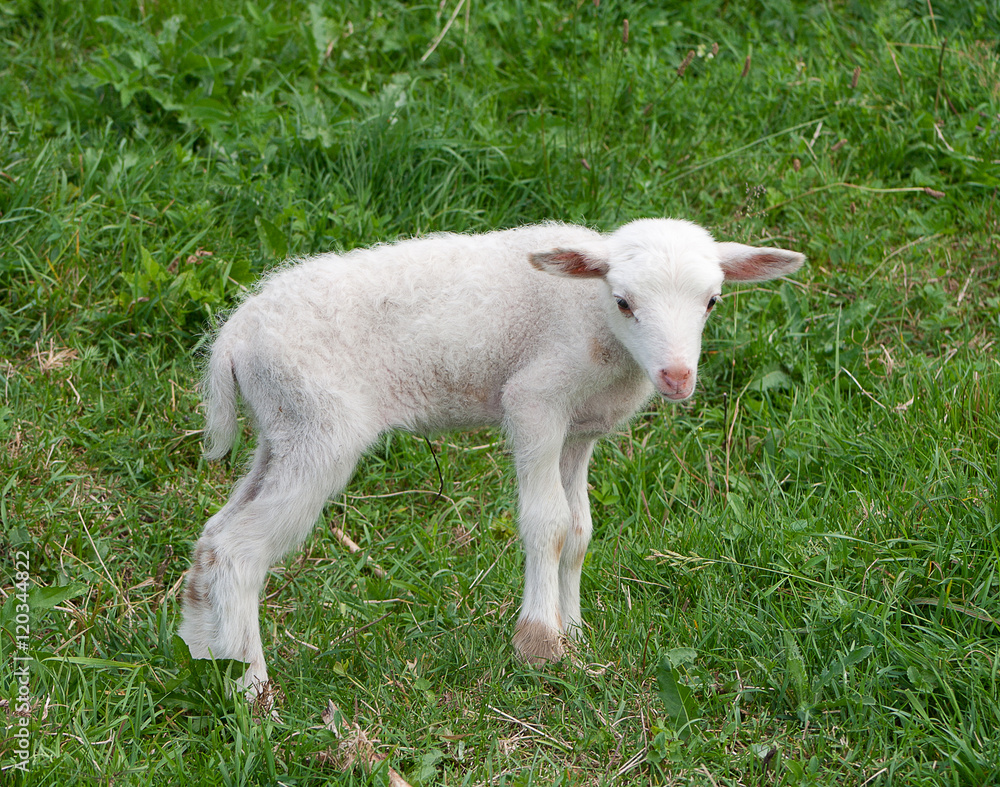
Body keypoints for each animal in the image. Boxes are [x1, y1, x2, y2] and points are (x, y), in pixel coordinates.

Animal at [178, 218, 804, 697]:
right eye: (624, 302)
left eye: (712, 301)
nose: (677, 377)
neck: (592, 320)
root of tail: (234, 337)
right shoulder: (535, 402)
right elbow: (548, 523)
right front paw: (540, 643)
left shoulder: (580, 431)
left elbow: (580, 530)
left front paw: (576, 633)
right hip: (319, 427)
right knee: (240, 550)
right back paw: (255, 693)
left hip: (282, 426)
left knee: (214, 535)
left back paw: (205, 657)